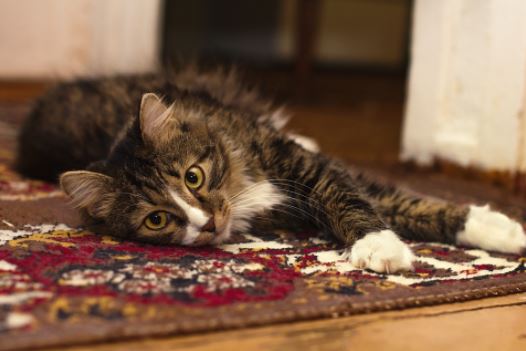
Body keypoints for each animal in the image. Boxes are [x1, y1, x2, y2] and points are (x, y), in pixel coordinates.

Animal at [16, 66, 526, 276]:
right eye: (157, 219)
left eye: (193, 177)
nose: (208, 224)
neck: (240, 184)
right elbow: (387, 203)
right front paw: (383, 247)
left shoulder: (309, 169)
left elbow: (388, 199)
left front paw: (502, 229)